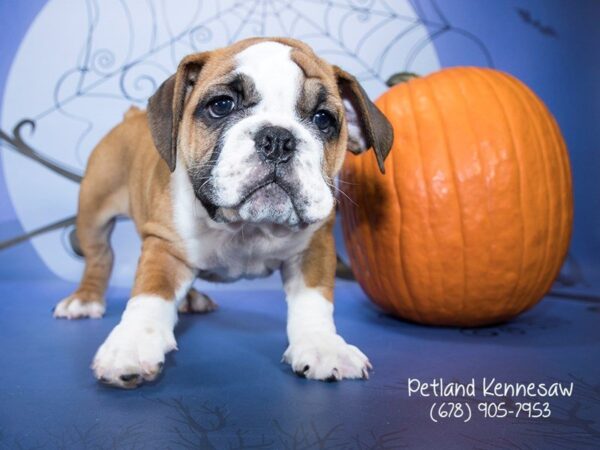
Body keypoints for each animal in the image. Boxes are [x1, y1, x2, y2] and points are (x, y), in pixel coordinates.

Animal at [52, 37, 394, 386]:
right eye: (221, 105)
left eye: (323, 119)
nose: (277, 138)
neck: (246, 227)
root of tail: (129, 118)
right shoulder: (164, 246)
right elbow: (150, 294)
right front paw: (131, 344)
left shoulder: (314, 248)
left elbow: (314, 301)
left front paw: (323, 346)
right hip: (93, 212)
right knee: (99, 257)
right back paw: (85, 299)